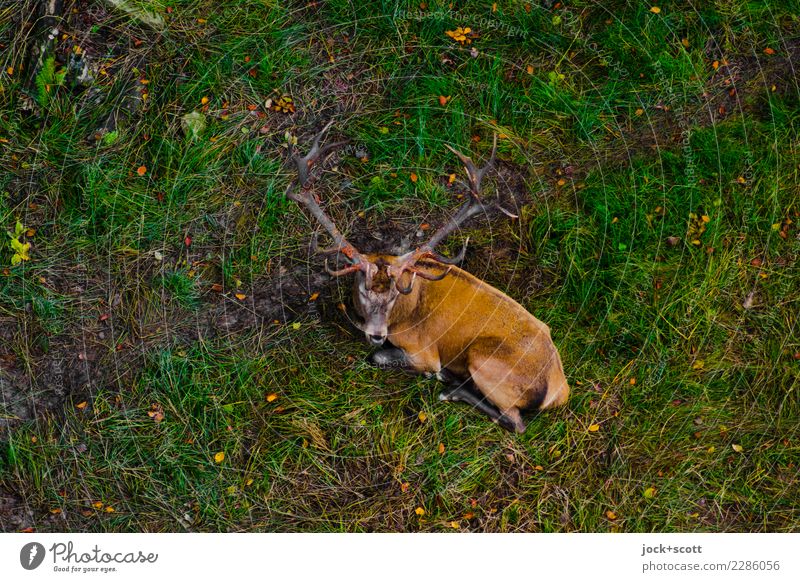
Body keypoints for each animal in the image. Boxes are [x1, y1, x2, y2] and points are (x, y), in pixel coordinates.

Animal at [286, 123, 568, 434]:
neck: (404, 312)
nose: (377, 334)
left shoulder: (424, 352)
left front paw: (431, 372)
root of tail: (559, 392)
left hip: (486, 360)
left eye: (396, 294)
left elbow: (379, 357)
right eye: (363, 290)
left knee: (516, 422)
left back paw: (452, 387)